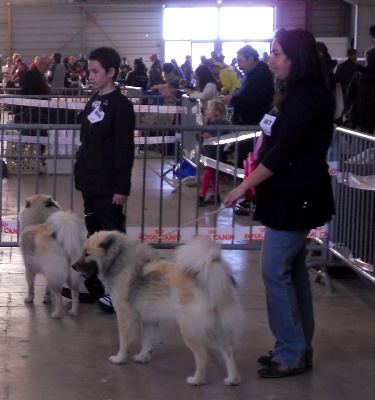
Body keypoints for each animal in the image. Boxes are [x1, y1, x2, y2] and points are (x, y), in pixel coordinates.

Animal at [72, 233, 244, 386]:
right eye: (83, 252)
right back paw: (232, 379)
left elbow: (124, 340)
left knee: (202, 355)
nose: (73, 266)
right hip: (218, 329)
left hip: (189, 330)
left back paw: (197, 380)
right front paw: (142, 357)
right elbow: (147, 341)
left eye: (87, 254)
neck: (118, 260)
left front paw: (119, 358)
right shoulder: (150, 320)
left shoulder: (124, 315)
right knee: (229, 352)